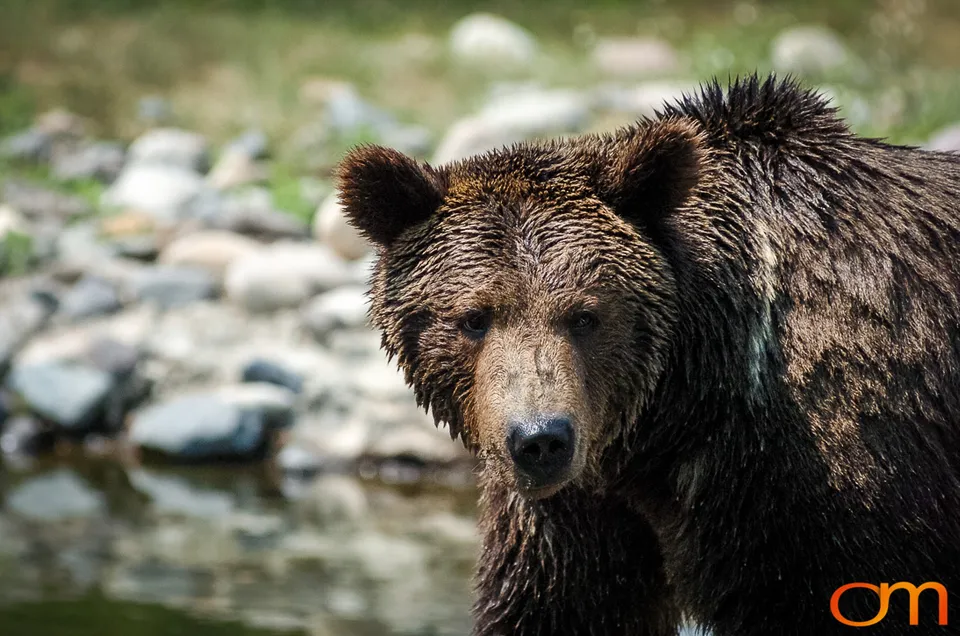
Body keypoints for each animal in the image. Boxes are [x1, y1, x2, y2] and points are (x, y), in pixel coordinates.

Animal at [336, 75, 960, 636]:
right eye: (474, 318)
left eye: (585, 315)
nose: (540, 440)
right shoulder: (579, 512)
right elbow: (564, 606)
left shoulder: (829, 490)